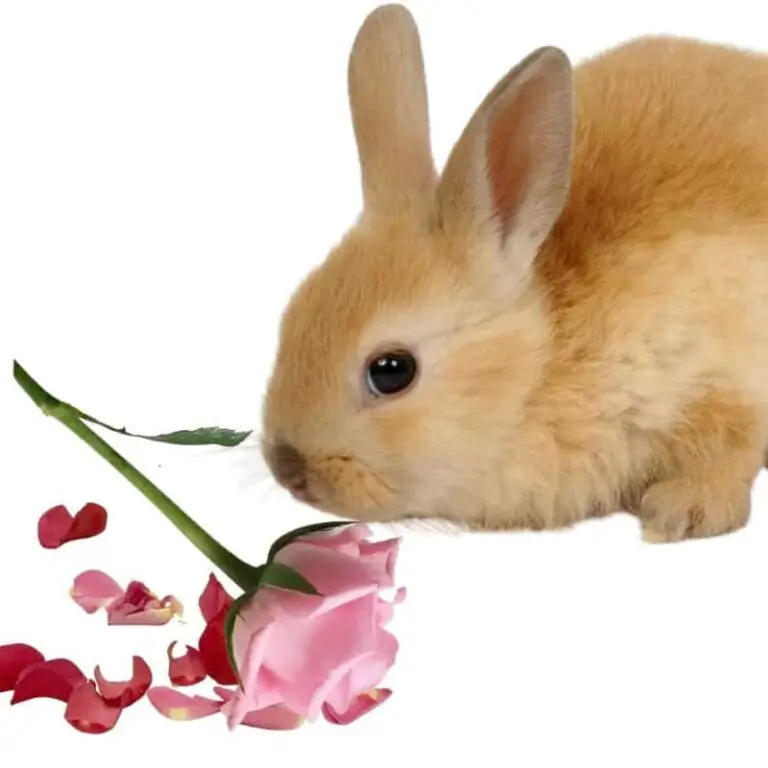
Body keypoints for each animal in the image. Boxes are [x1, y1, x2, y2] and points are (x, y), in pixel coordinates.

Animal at [260, 3, 768, 544]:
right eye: (291, 317)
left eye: (392, 370)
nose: (287, 466)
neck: (543, 367)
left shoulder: (712, 375)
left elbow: (728, 446)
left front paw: (681, 513)